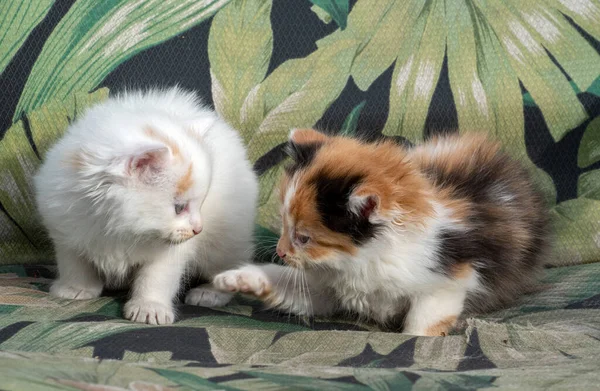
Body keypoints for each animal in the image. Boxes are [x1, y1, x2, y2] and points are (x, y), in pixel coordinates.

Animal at [33, 87, 258, 326]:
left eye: (201, 204)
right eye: (179, 208)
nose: (198, 229)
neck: (117, 228)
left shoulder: (172, 251)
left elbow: (156, 277)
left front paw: (150, 307)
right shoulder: (64, 227)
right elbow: (74, 262)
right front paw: (76, 288)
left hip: (226, 238)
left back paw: (210, 292)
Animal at [213, 129, 552, 336]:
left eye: (304, 238)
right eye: (284, 225)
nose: (281, 251)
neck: (363, 260)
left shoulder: (448, 281)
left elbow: (425, 322)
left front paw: (418, 343)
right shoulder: (326, 288)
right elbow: (290, 286)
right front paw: (236, 279)